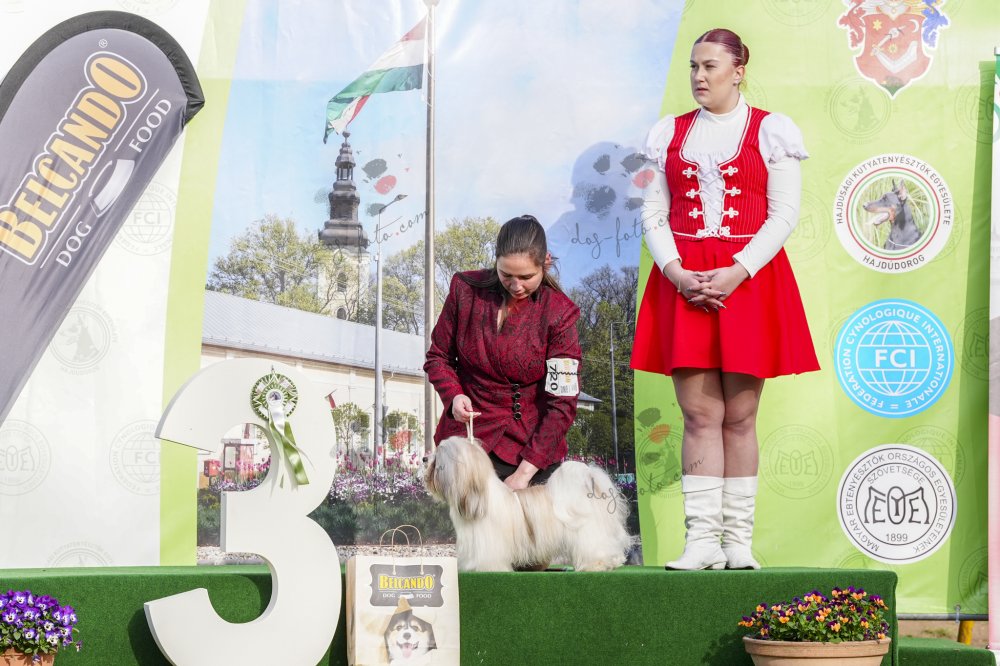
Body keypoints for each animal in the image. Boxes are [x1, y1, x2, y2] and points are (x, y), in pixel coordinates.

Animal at [424, 436, 631, 572]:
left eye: (439, 455)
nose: (425, 458)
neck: (479, 496)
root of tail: (588, 480)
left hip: (588, 532)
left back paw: (598, 564)